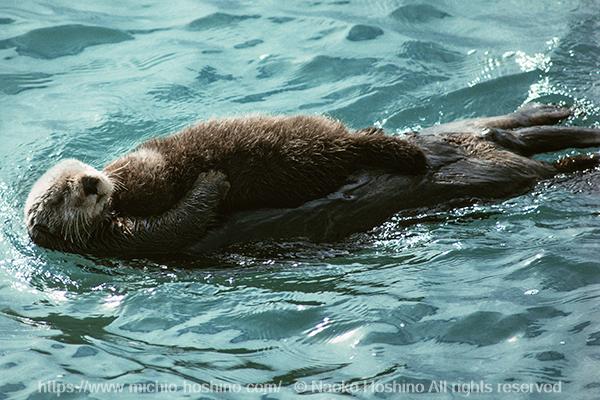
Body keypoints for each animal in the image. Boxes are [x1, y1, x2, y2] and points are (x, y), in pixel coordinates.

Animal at [22, 104, 600, 258]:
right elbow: (184, 221)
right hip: (498, 171)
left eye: (80, 171)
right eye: (66, 193)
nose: (94, 182)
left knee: (518, 127)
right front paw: (213, 179)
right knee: (546, 166)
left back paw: (556, 113)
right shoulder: (130, 240)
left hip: (472, 133)